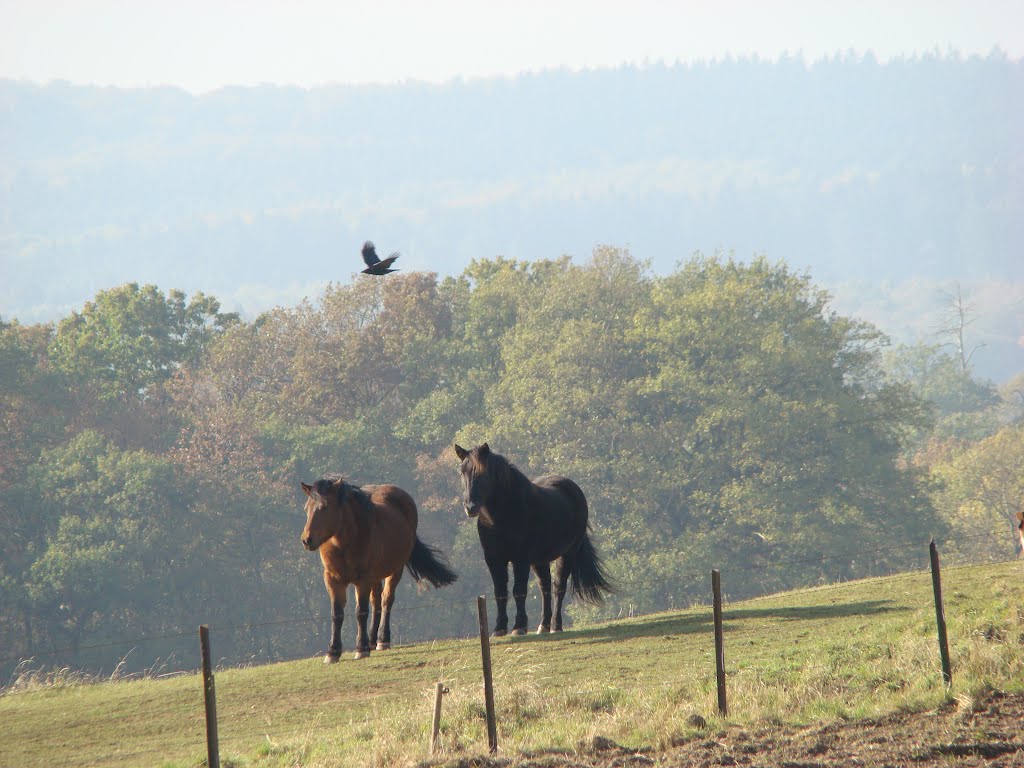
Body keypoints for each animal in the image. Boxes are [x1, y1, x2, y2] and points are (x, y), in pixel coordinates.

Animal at [299, 475, 454, 663]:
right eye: (306, 508)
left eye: (325, 507)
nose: (307, 540)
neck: (344, 544)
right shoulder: (333, 579)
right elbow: (337, 614)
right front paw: (333, 651)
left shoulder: (363, 580)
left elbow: (361, 612)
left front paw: (361, 648)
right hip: (375, 576)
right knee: (376, 601)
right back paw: (372, 641)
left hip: (395, 570)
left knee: (386, 600)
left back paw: (381, 640)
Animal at [454, 444, 610, 638]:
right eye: (462, 472)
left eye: (483, 473)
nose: (471, 507)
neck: (501, 516)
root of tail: (573, 489)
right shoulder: (494, 560)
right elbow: (500, 592)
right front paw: (499, 629)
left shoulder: (520, 559)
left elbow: (519, 591)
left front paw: (519, 627)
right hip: (539, 561)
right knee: (545, 587)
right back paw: (543, 626)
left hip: (567, 554)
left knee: (558, 587)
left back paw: (556, 626)